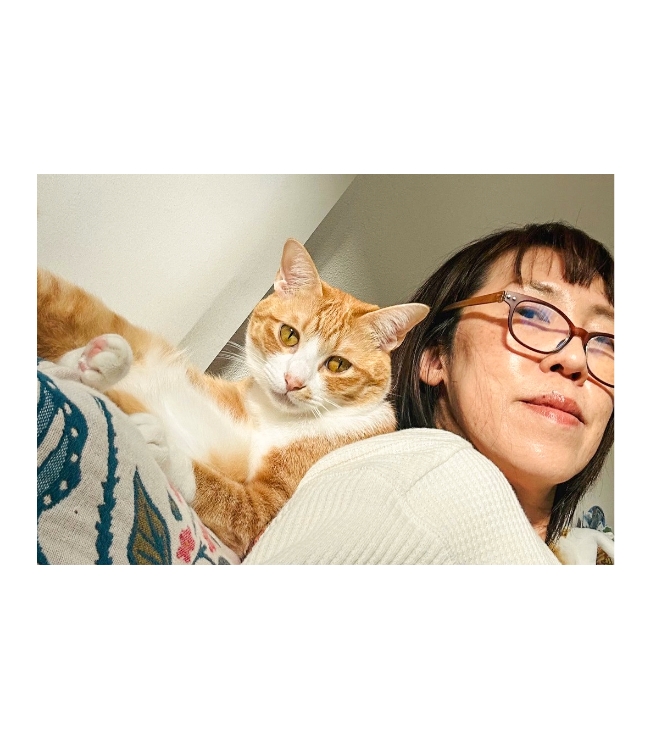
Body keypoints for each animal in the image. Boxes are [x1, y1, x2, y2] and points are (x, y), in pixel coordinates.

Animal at [37, 238, 429, 557]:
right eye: (289, 335)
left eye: (337, 364)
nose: (293, 381)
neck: (271, 418)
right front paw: (91, 365)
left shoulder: (262, 514)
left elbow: (222, 496)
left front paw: (160, 444)